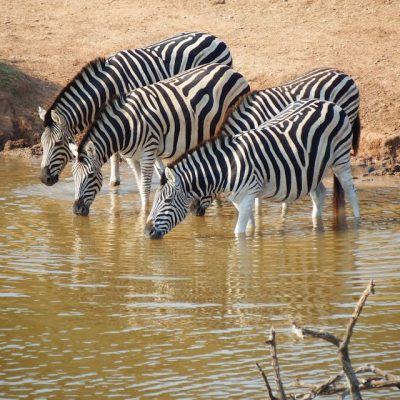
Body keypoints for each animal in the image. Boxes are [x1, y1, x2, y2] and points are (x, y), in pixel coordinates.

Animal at [38, 31, 233, 186]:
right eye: (42, 143)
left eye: (58, 143)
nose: (43, 179)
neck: (108, 87)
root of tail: (214, 37)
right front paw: (115, 181)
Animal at [69, 62, 250, 216]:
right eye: (74, 176)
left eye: (91, 175)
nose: (76, 210)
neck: (125, 127)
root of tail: (231, 70)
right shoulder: (132, 158)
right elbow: (142, 185)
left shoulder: (148, 152)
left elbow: (145, 188)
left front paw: (144, 214)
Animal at [145, 99, 360, 239]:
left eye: (167, 200)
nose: (146, 231)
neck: (226, 167)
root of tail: (329, 103)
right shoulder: (239, 200)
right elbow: (248, 228)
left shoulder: (248, 196)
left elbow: (239, 233)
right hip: (312, 168)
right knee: (319, 193)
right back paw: (316, 225)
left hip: (340, 158)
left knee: (350, 191)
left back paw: (356, 224)